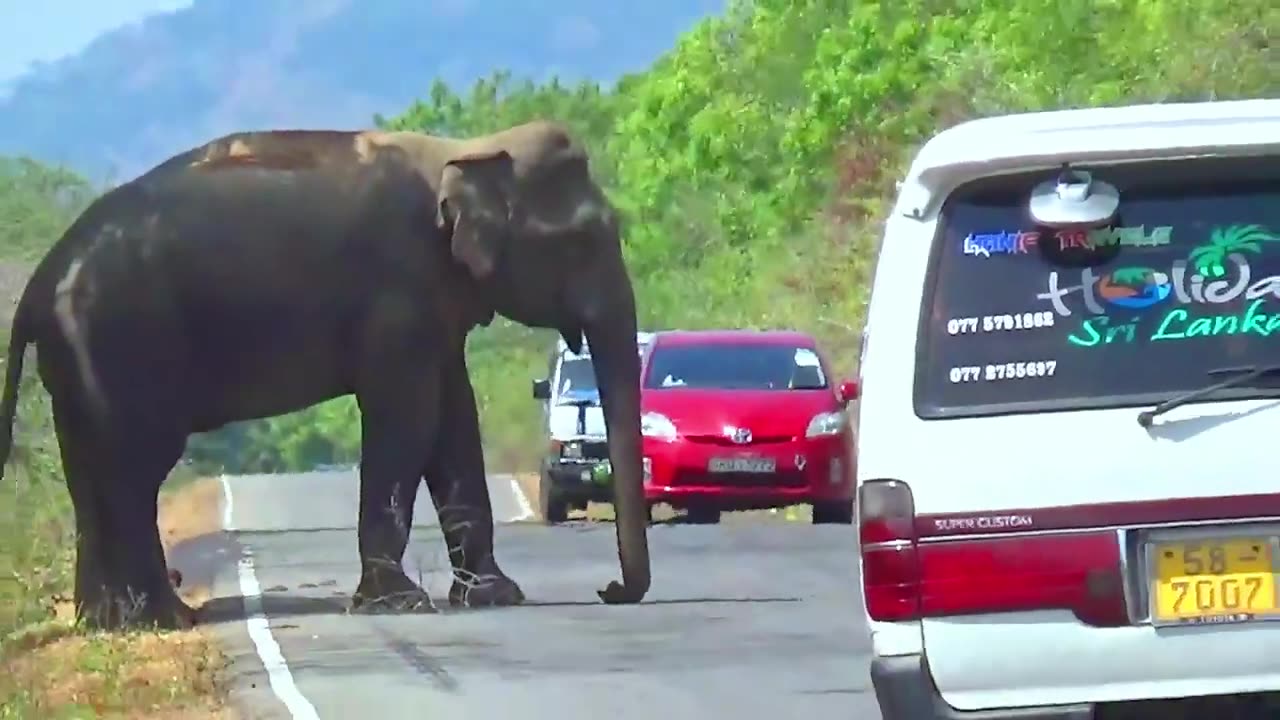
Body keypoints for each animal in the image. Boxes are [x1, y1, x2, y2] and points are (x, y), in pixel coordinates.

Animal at [0, 120, 651, 630]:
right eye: (582, 241)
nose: (609, 591)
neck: (466, 151)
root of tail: (41, 277)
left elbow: (454, 424)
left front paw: (494, 597)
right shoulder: (398, 296)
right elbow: (408, 419)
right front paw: (401, 605)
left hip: (79, 357)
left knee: (91, 472)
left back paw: (109, 622)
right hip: (123, 342)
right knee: (135, 469)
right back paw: (162, 619)